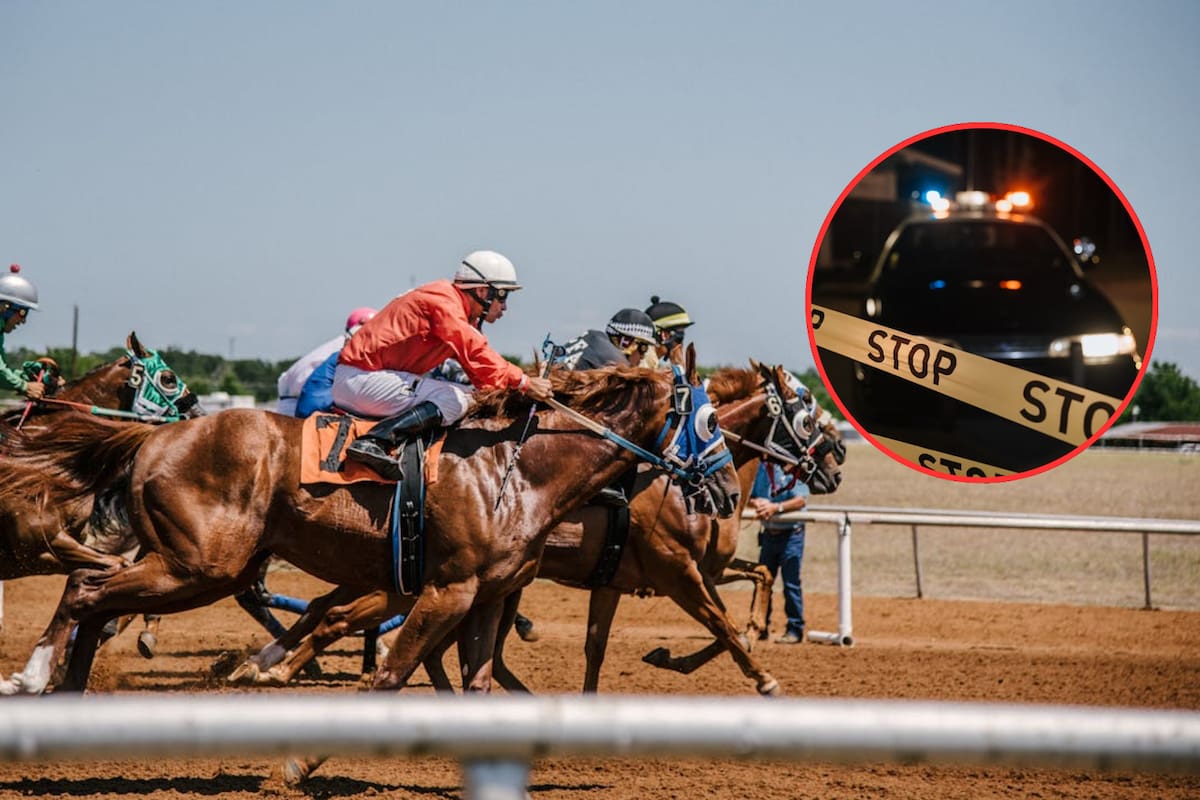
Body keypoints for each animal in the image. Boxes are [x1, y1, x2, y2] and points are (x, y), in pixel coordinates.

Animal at [4, 347, 739, 713]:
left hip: (195, 564)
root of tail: (158, 435)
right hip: (199, 567)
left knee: (97, 597)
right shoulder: (447, 588)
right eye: (709, 422)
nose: (731, 493)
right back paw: (34, 676)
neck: (515, 468)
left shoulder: (487, 594)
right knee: (88, 591)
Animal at [228, 362, 844, 696]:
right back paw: (272, 668)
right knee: (342, 618)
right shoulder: (676, 569)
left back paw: (266, 664)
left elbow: (603, 645)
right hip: (411, 580)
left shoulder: (628, 578)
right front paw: (760, 675)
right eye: (807, 414)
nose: (836, 463)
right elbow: (723, 625)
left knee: (339, 615)